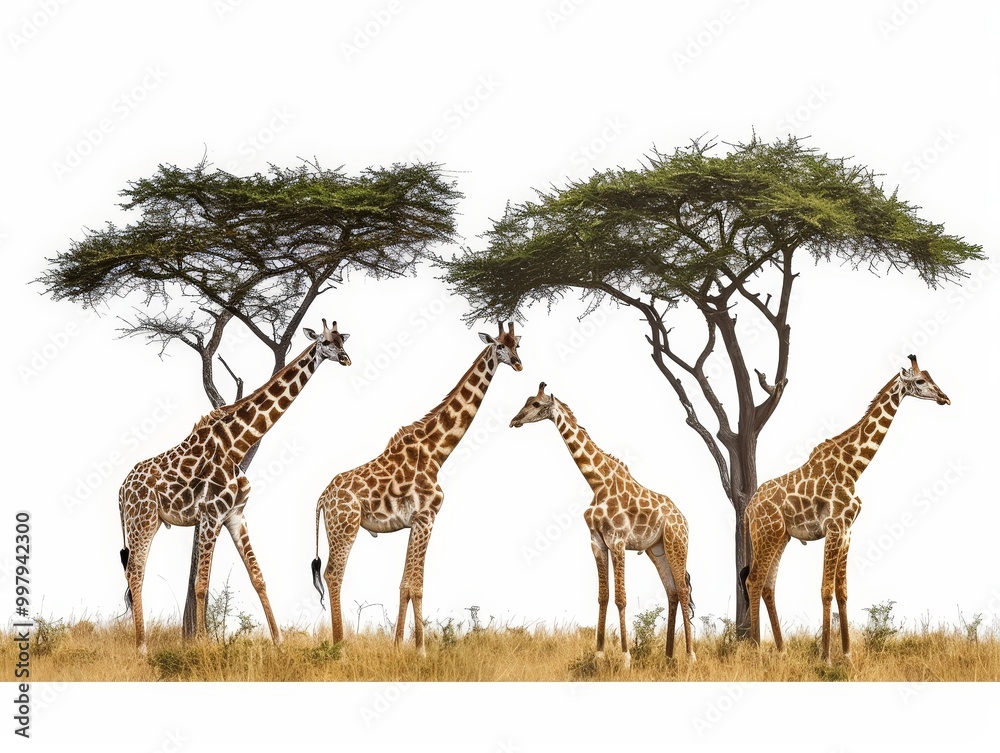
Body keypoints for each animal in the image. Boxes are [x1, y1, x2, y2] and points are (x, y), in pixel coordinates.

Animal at [118, 319, 351, 654]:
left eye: (341, 340)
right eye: (324, 342)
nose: (346, 358)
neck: (236, 445)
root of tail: (121, 490)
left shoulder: (235, 515)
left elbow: (257, 577)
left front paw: (279, 641)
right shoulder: (210, 514)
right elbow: (201, 583)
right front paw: (202, 644)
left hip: (150, 522)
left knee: (134, 573)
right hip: (143, 520)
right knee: (135, 574)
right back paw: (142, 647)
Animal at [312, 322, 523, 655]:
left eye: (518, 345)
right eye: (500, 346)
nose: (518, 363)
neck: (436, 452)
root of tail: (322, 498)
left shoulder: (414, 522)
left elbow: (404, 585)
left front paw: (399, 646)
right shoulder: (427, 518)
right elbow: (418, 586)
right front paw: (421, 650)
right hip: (345, 527)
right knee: (334, 574)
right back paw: (340, 647)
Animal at [509, 382, 696, 667]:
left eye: (537, 404)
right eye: (526, 401)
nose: (514, 420)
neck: (597, 482)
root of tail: (683, 518)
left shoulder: (617, 540)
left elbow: (621, 598)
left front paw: (626, 658)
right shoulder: (596, 541)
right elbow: (603, 596)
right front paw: (598, 655)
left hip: (676, 543)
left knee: (683, 590)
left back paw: (690, 656)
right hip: (657, 549)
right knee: (672, 592)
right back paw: (667, 656)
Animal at [742, 354, 950, 664]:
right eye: (921, 380)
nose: (944, 398)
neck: (854, 468)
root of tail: (748, 509)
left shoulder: (848, 530)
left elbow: (842, 591)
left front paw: (848, 653)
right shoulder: (833, 527)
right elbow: (826, 590)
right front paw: (826, 657)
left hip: (781, 537)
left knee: (768, 585)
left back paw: (780, 650)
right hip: (766, 534)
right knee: (754, 581)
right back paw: (757, 650)